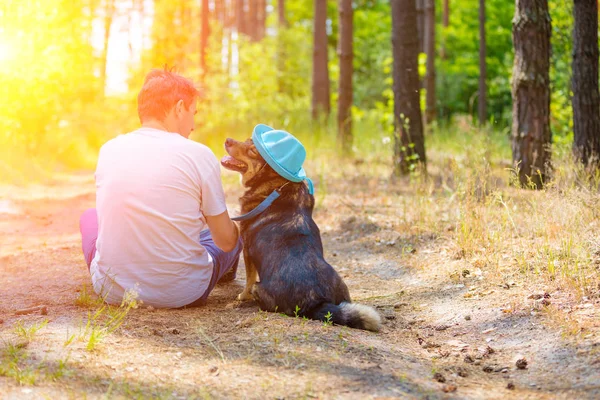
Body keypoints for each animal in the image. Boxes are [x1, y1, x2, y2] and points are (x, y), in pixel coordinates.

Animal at [220, 138, 380, 332]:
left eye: (252, 151)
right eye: (248, 140)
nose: (227, 140)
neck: (277, 185)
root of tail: (317, 303)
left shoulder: (247, 251)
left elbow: (249, 279)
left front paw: (241, 297)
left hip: (260, 289)